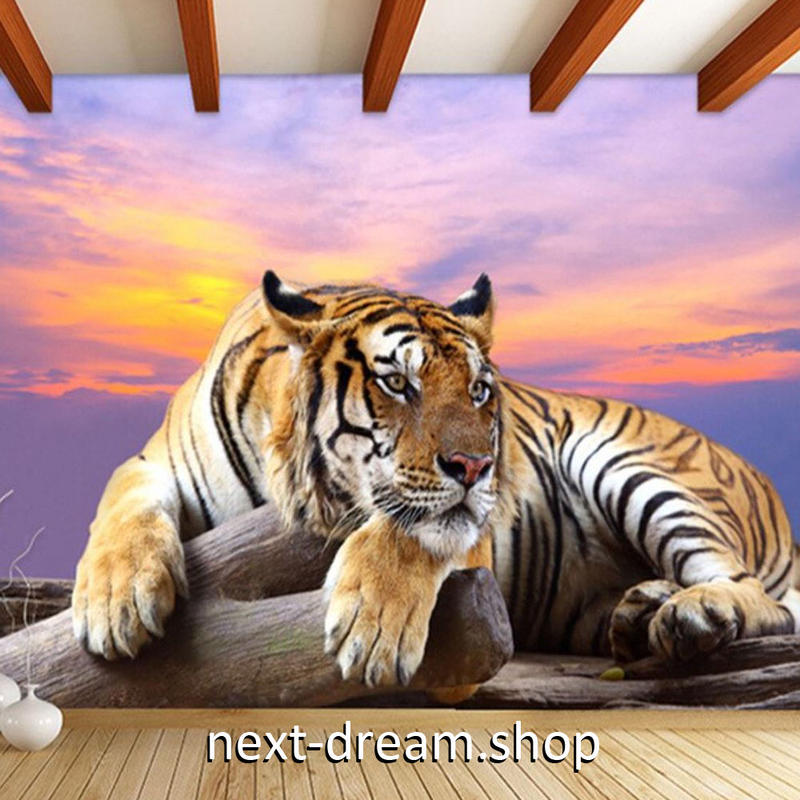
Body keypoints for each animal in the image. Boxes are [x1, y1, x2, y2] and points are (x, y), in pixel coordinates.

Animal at [72, 271, 800, 695]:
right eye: (399, 382)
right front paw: (115, 602)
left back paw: (692, 614)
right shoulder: (154, 461)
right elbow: (121, 499)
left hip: (627, 465)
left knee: (762, 597)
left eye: (479, 391)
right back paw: (641, 611)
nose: (478, 467)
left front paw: (373, 630)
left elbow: (413, 530)